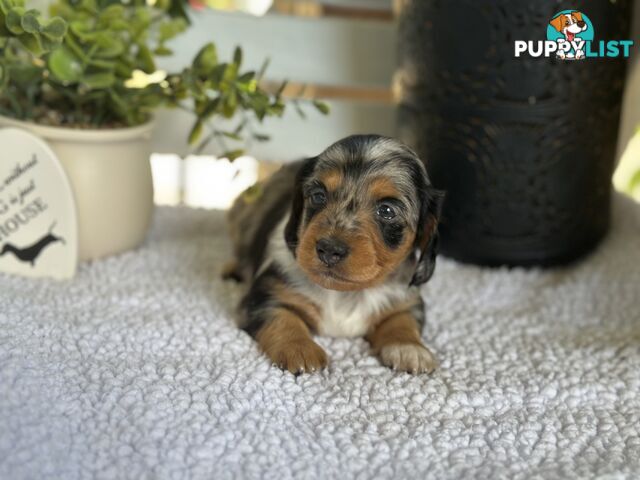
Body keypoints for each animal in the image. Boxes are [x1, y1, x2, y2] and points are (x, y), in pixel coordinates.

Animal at [225, 134, 444, 376]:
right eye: (318, 196)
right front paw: (300, 349)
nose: (329, 249)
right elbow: (283, 318)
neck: (346, 294)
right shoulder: (267, 293)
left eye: (387, 210)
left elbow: (403, 321)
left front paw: (410, 349)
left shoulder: (406, 300)